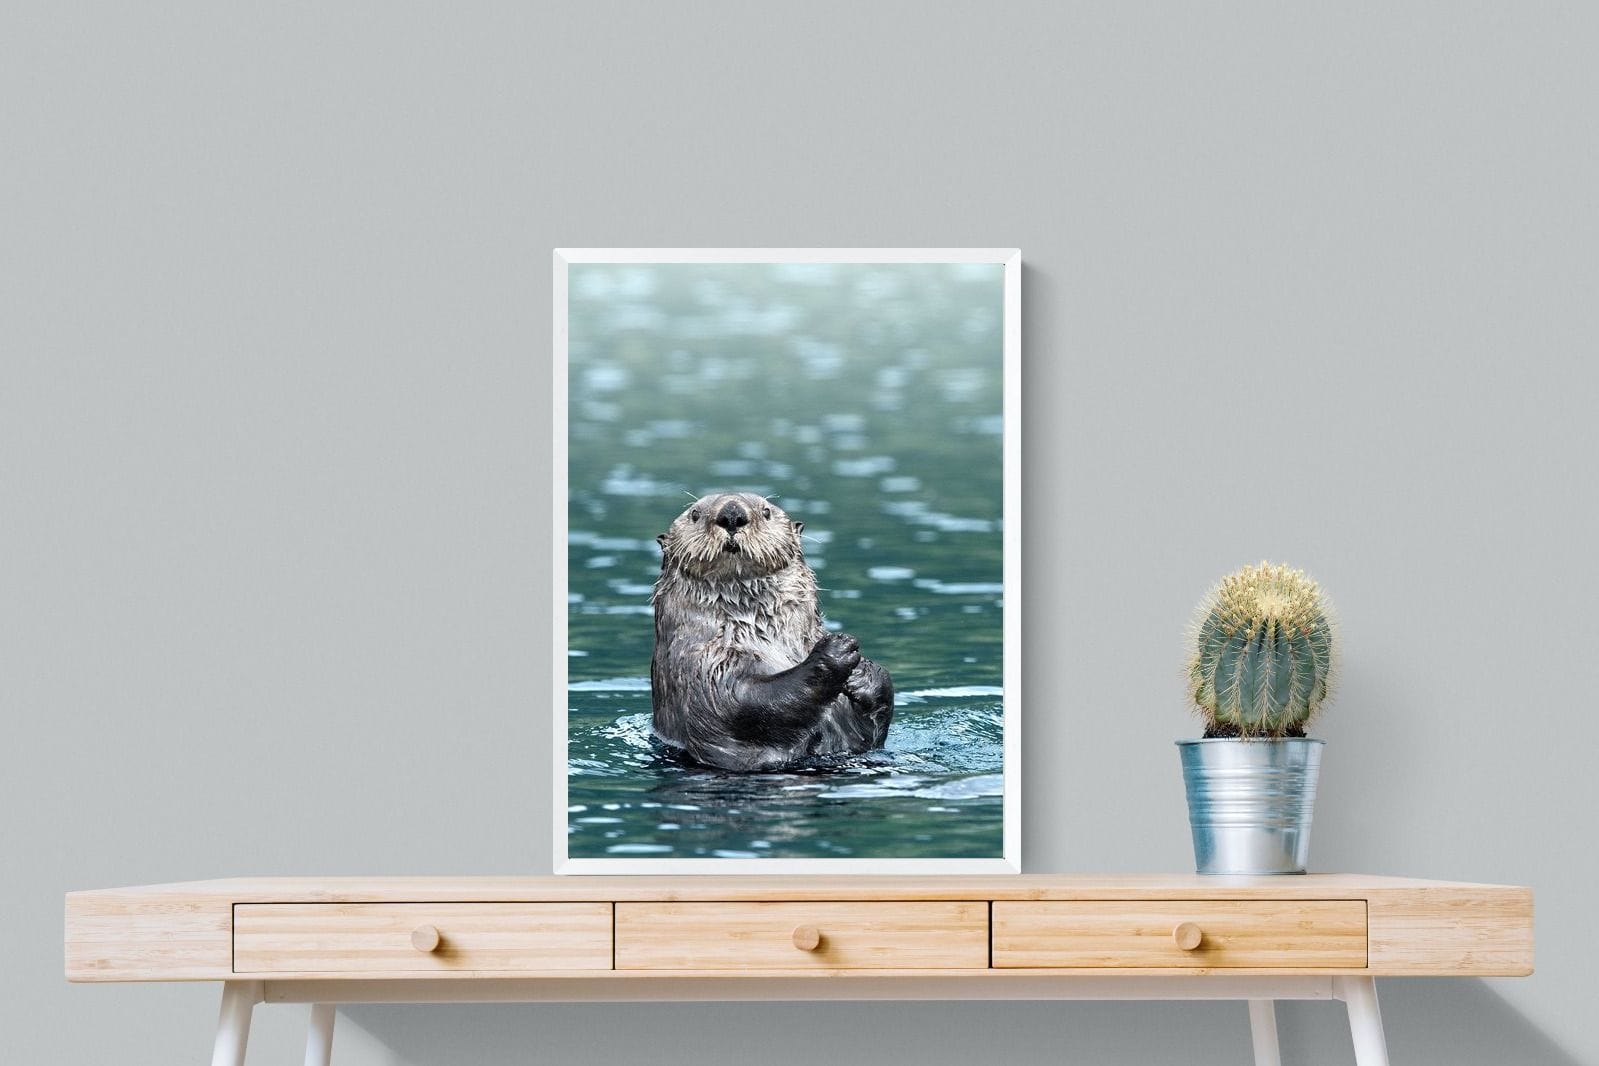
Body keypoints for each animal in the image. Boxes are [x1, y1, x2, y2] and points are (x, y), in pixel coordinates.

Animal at [650, 491, 895, 771]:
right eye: (694, 514)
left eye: (766, 511)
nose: (732, 514)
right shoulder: (701, 666)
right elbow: (742, 702)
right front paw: (835, 650)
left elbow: (870, 732)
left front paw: (863, 673)